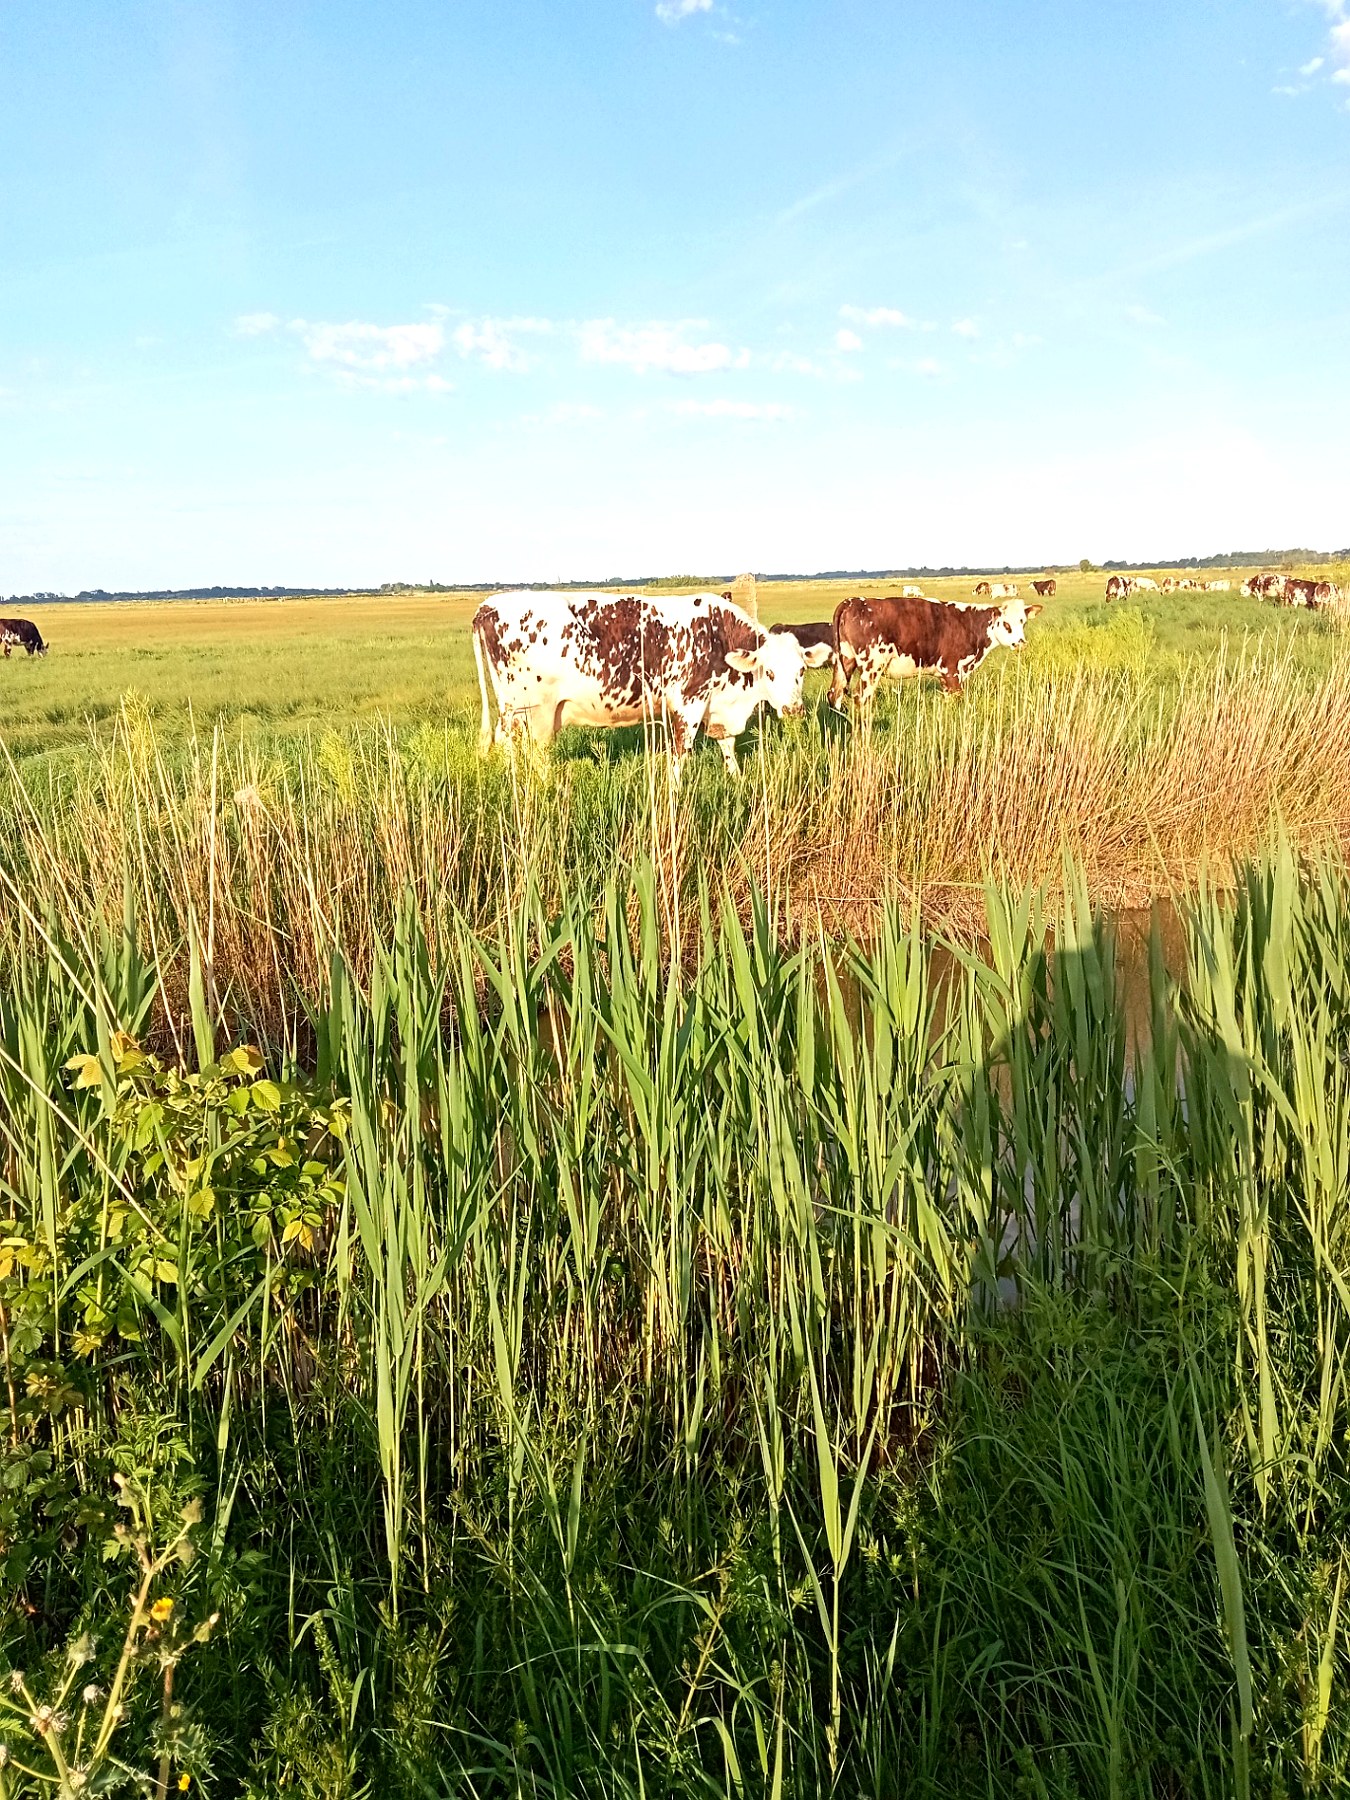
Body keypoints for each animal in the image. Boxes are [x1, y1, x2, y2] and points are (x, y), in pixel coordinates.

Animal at [472, 590, 810, 777]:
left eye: (802, 671)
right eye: (769, 672)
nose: (794, 709)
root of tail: (489, 605)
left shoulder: (717, 706)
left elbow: (727, 745)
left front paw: (736, 779)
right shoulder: (689, 703)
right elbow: (680, 753)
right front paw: (676, 791)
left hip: (512, 709)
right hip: (532, 711)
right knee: (532, 753)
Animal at [826, 593, 1042, 708]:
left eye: (1023, 621)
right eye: (1006, 624)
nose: (1021, 642)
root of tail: (852, 601)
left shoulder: (946, 677)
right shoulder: (952, 671)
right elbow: (958, 698)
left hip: (845, 660)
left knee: (835, 693)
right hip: (872, 665)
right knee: (861, 697)